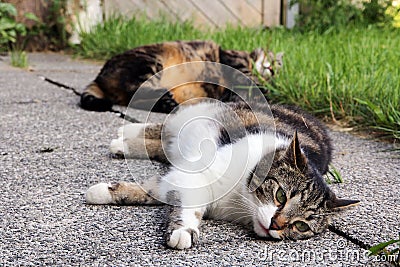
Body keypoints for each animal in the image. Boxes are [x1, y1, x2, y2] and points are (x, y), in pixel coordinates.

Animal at [79, 40, 282, 113]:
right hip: (149, 62)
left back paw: (166, 103)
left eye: (279, 66)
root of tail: (99, 76)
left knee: (134, 99)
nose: (273, 69)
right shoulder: (233, 61)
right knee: (136, 88)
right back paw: (164, 96)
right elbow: (248, 77)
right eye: (276, 61)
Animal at [85, 102, 360, 251]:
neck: (240, 201)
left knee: (164, 145)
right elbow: (185, 204)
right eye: (281, 195)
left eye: (301, 225)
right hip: (194, 118)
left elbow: (151, 190)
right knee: (163, 128)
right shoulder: (194, 176)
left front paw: (106, 192)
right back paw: (125, 133)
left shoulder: (178, 178)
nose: (276, 225)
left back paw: (123, 144)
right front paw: (183, 230)